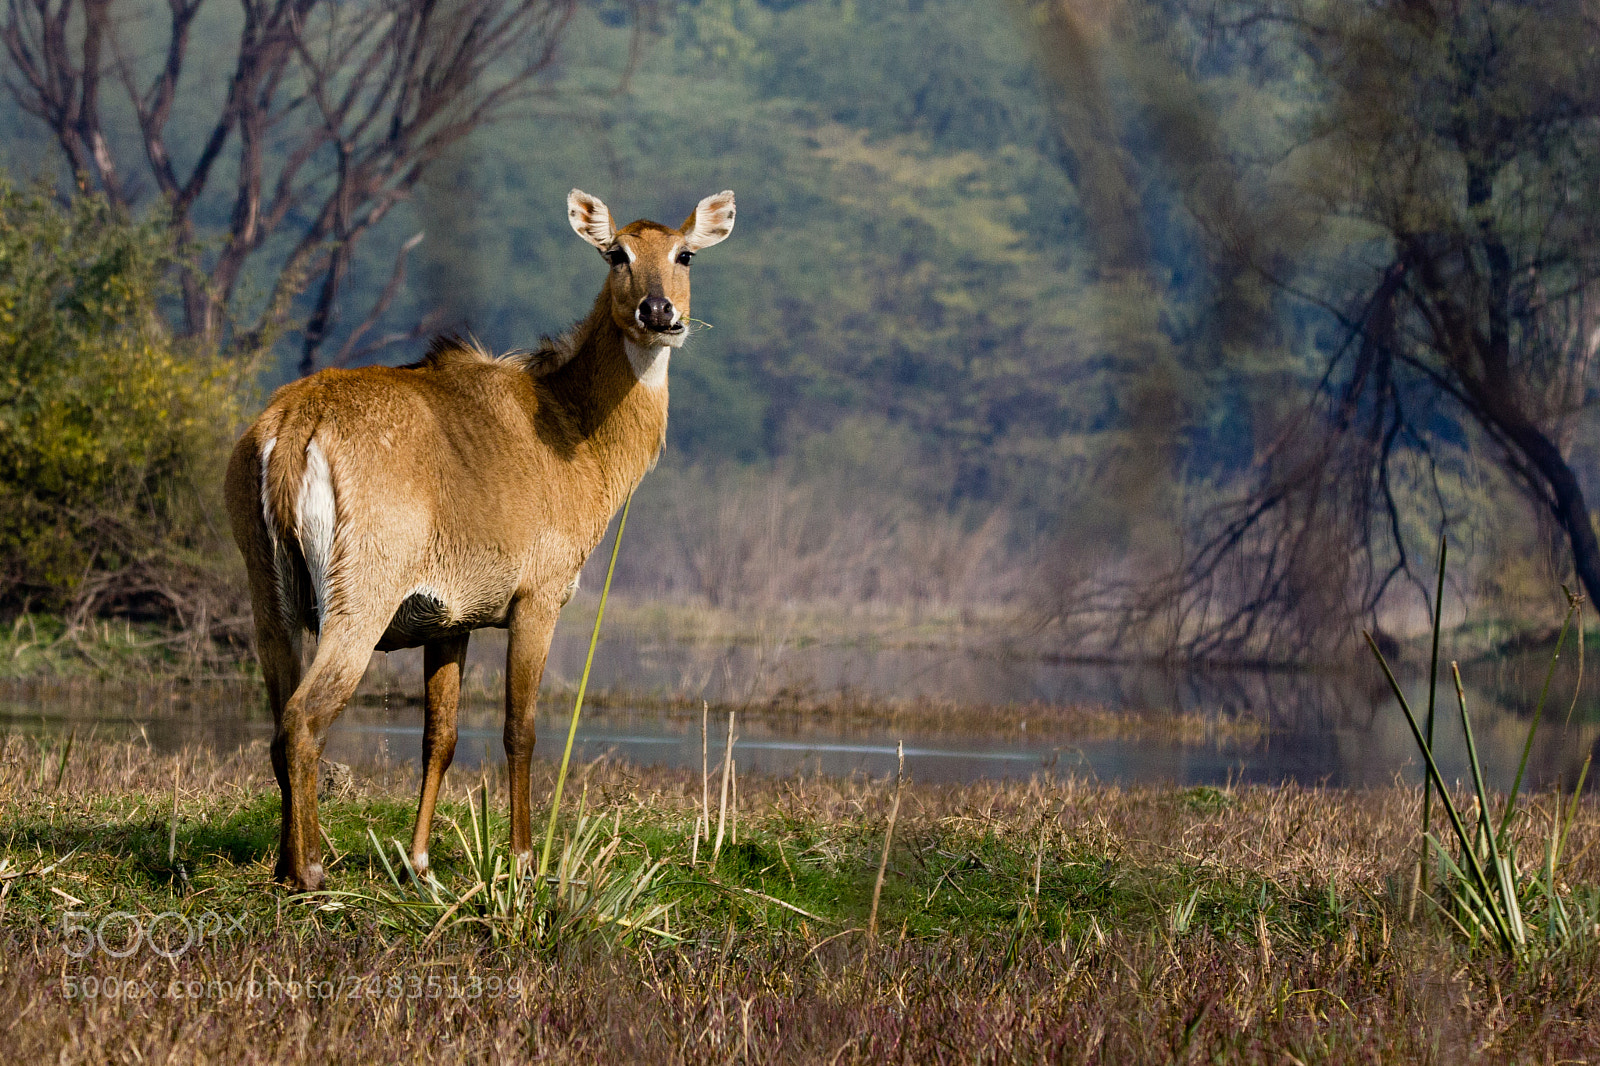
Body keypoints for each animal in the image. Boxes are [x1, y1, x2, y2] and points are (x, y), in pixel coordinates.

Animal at [224, 189, 736, 891]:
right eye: (616, 253)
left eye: (685, 254)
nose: (658, 311)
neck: (574, 427)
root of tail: (299, 420)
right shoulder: (538, 600)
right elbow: (520, 729)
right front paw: (522, 864)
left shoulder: (447, 621)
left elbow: (439, 737)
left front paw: (419, 865)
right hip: (357, 603)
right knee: (305, 720)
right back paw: (311, 872)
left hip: (269, 603)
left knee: (279, 722)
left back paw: (282, 865)